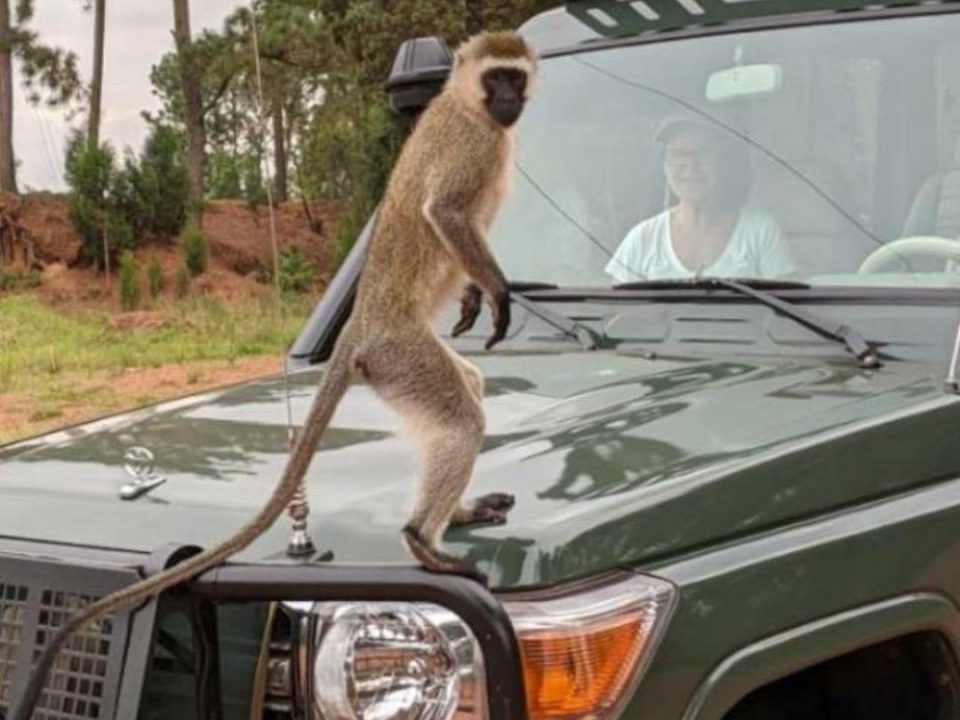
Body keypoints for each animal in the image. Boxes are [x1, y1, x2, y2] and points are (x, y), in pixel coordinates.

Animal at [11, 30, 536, 720]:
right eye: (496, 78)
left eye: (515, 78)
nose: (509, 100)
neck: (472, 110)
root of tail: (358, 332)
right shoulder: (473, 148)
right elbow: (445, 212)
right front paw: (497, 292)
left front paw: (475, 297)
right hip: (400, 354)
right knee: (461, 413)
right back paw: (422, 540)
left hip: (402, 364)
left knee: (464, 392)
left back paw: (456, 512)